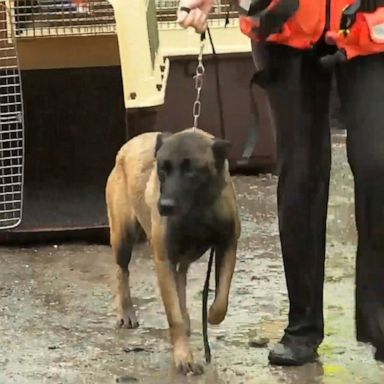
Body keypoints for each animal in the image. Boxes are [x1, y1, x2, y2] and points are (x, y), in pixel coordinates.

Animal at [105, 127, 240, 374]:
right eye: (162, 169)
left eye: (191, 171)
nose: (164, 206)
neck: (197, 209)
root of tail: (127, 145)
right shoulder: (163, 259)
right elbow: (173, 315)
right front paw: (183, 357)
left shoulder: (228, 246)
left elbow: (221, 300)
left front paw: (211, 315)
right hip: (123, 237)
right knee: (122, 271)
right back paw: (126, 311)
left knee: (181, 281)